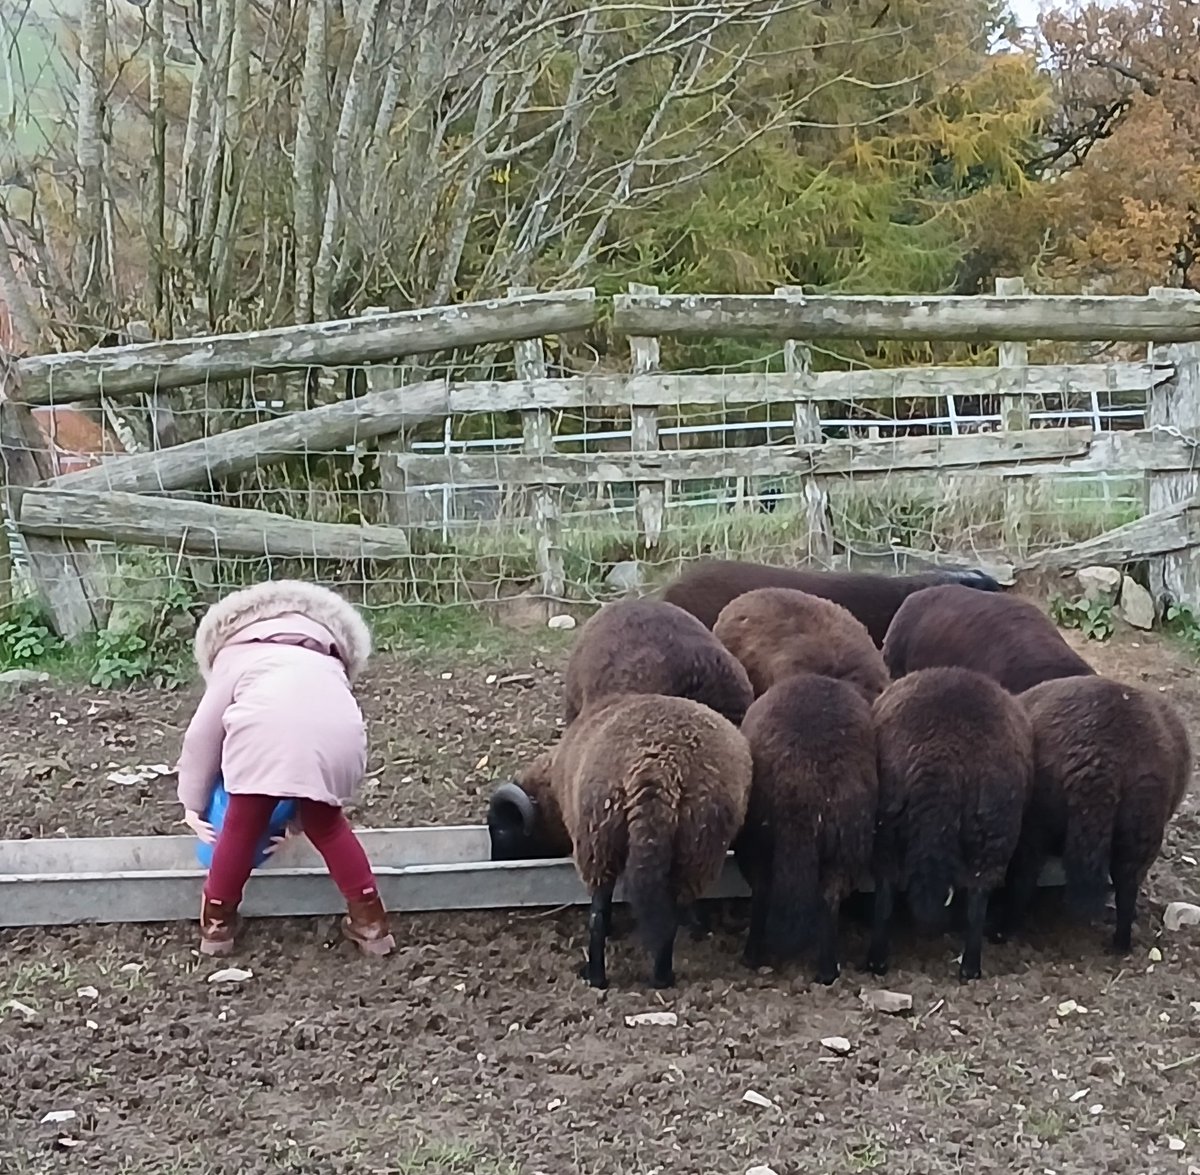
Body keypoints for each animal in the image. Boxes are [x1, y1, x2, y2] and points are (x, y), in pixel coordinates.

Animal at [488, 692, 752, 989]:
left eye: (500, 830)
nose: (495, 863)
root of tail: (657, 768)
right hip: (688, 849)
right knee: (659, 914)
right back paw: (648, 977)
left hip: (601, 843)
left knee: (601, 914)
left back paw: (606, 976)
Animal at [869, 666, 1034, 982]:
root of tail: (942, 759)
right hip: (993, 832)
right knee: (977, 902)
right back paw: (970, 967)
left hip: (888, 828)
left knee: (885, 894)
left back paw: (877, 962)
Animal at [992, 676, 1191, 954]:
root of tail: (1101, 756)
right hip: (1141, 827)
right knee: (1127, 885)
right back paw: (1120, 945)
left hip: (1037, 826)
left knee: (1023, 878)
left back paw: (1003, 931)